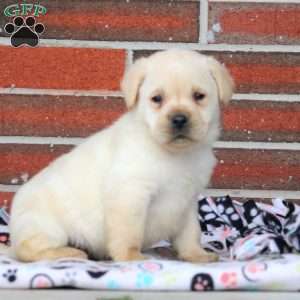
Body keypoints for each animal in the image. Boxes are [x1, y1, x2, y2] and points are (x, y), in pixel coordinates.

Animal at [5, 49, 234, 262]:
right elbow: (129, 234)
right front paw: (130, 257)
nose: (179, 119)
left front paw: (197, 255)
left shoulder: (187, 202)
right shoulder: (130, 194)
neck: (174, 154)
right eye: (157, 99)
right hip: (45, 227)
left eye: (199, 96)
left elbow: (190, 234)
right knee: (27, 250)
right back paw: (69, 252)